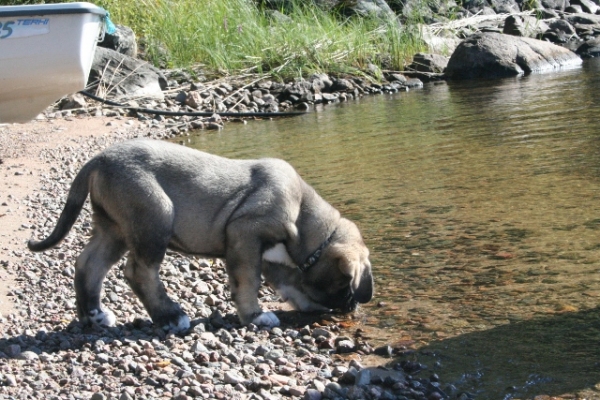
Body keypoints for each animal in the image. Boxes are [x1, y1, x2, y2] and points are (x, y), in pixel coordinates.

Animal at [30, 139, 376, 330]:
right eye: (347, 283)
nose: (353, 308)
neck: (304, 217)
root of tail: (99, 159)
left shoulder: (271, 256)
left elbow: (291, 284)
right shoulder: (246, 236)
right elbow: (248, 283)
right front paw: (255, 317)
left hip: (114, 229)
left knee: (89, 265)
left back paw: (95, 316)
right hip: (155, 216)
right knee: (139, 271)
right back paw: (170, 317)